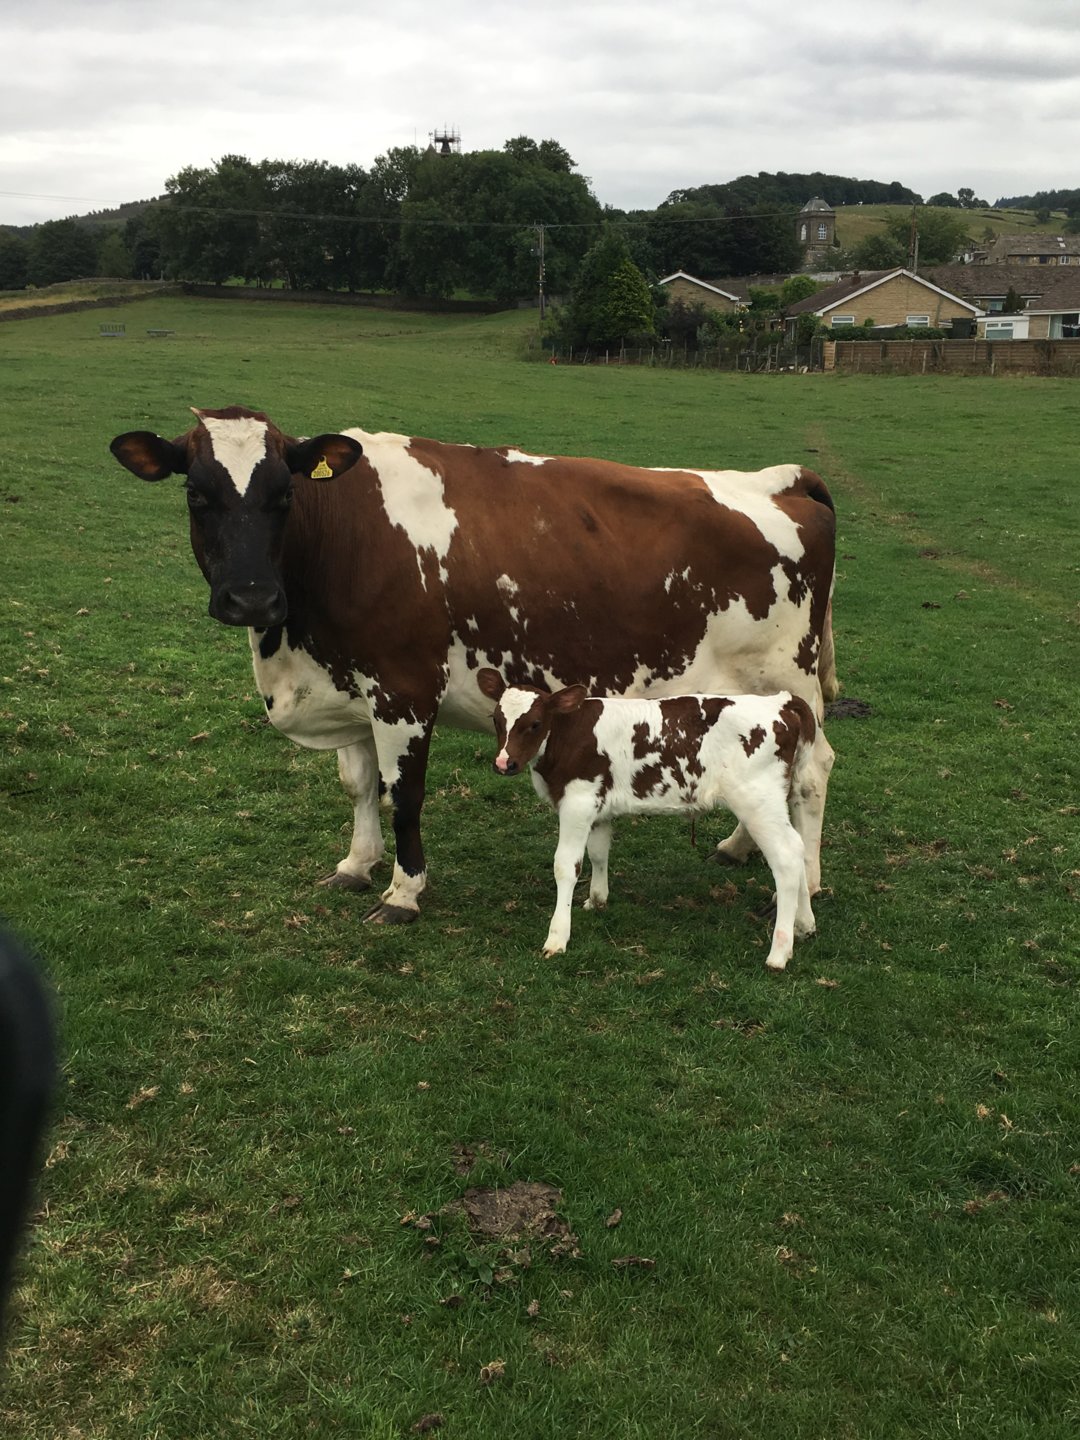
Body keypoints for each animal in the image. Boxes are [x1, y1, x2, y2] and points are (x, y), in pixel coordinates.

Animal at [109, 406, 837, 926]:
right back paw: (742, 846)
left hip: (789, 679)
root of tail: (780, 478)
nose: (251, 598)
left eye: (284, 494)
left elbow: (402, 795)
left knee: (812, 772)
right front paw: (356, 864)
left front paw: (403, 893)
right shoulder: (348, 688)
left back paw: (807, 882)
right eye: (196, 495)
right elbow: (357, 785)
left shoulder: (403, 691)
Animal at [477, 671, 817, 969]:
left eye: (535, 723)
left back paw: (779, 952)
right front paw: (596, 901)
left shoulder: (577, 801)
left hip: (756, 800)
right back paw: (804, 925)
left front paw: (557, 936)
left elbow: (566, 866)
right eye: (496, 719)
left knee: (786, 856)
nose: (504, 763)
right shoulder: (598, 805)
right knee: (798, 847)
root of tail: (781, 701)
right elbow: (598, 853)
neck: (568, 735)